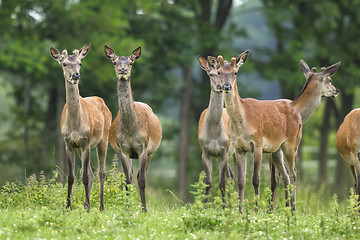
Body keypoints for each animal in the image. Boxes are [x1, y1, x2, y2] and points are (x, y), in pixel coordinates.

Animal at [49, 43, 111, 212]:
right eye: (64, 63)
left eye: (80, 63)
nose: (76, 75)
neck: (75, 127)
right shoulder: (69, 143)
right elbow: (71, 177)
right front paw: (68, 206)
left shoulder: (86, 142)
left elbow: (84, 177)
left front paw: (88, 206)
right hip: (81, 147)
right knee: (91, 170)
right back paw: (85, 204)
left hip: (103, 138)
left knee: (100, 172)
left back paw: (100, 206)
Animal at [103, 45, 161, 212]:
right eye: (114, 62)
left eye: (131, 62)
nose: (122, 70)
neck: (130, 129)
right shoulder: (123, 149)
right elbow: (127, 180)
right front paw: (127, 209)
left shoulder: (143, 148)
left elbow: (141, 180)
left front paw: (144, 209)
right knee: (132, 175)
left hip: (151, 152)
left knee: (141, 175)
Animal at [198, 55, 235, 202]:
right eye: (212, 74)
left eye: (221, 73)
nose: (221, 86)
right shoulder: (205, 151)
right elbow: (208, 182)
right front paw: (204, 205)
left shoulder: (223, 151)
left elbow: (222, 183)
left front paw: (224, 206)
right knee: (231, 176)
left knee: (231, 178)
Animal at [217, 49, 304, 211]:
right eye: (219, 72)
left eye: (235, 72)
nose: (226, 86)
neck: (242, 125)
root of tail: (299, 116)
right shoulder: (239, 148)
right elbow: (241, 181)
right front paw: (240, 211)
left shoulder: (258, 144)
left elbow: (255, 180)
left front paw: (256, 210)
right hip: (276, 150)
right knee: (286, 175)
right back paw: (288, 210)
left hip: (291, 144)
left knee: (294, 173)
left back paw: (294, 210)